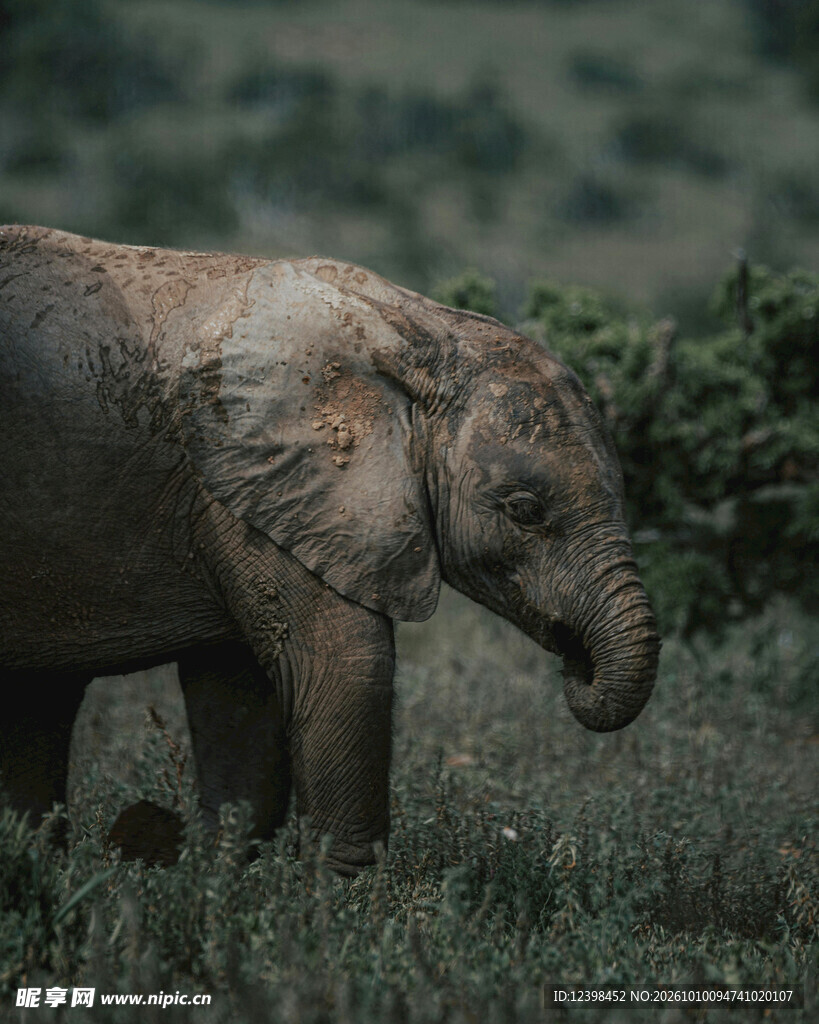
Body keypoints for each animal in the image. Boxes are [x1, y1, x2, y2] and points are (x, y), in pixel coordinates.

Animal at [0, 225, 659, 875]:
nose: (576, 664)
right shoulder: (257, 486)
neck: (413, 334)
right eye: (524, 510)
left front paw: (216, 885)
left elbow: (237, 699)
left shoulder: (250, 495)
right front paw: (342, 901)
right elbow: (345, 666)